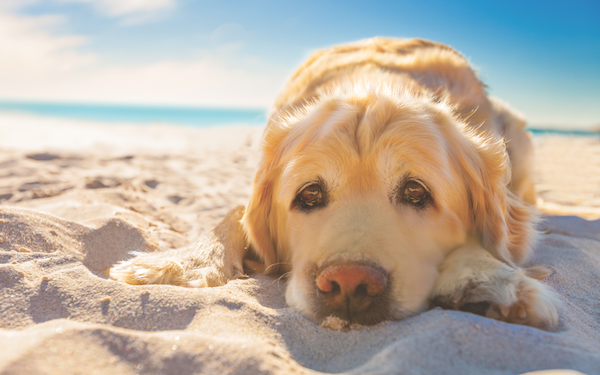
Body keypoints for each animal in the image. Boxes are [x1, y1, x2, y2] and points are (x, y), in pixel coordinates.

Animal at [110, 37, 560, 328]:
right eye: (309, 194)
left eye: (416, 191)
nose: (348, 282)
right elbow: (235, 211)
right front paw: (181, 263)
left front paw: (488, 279)